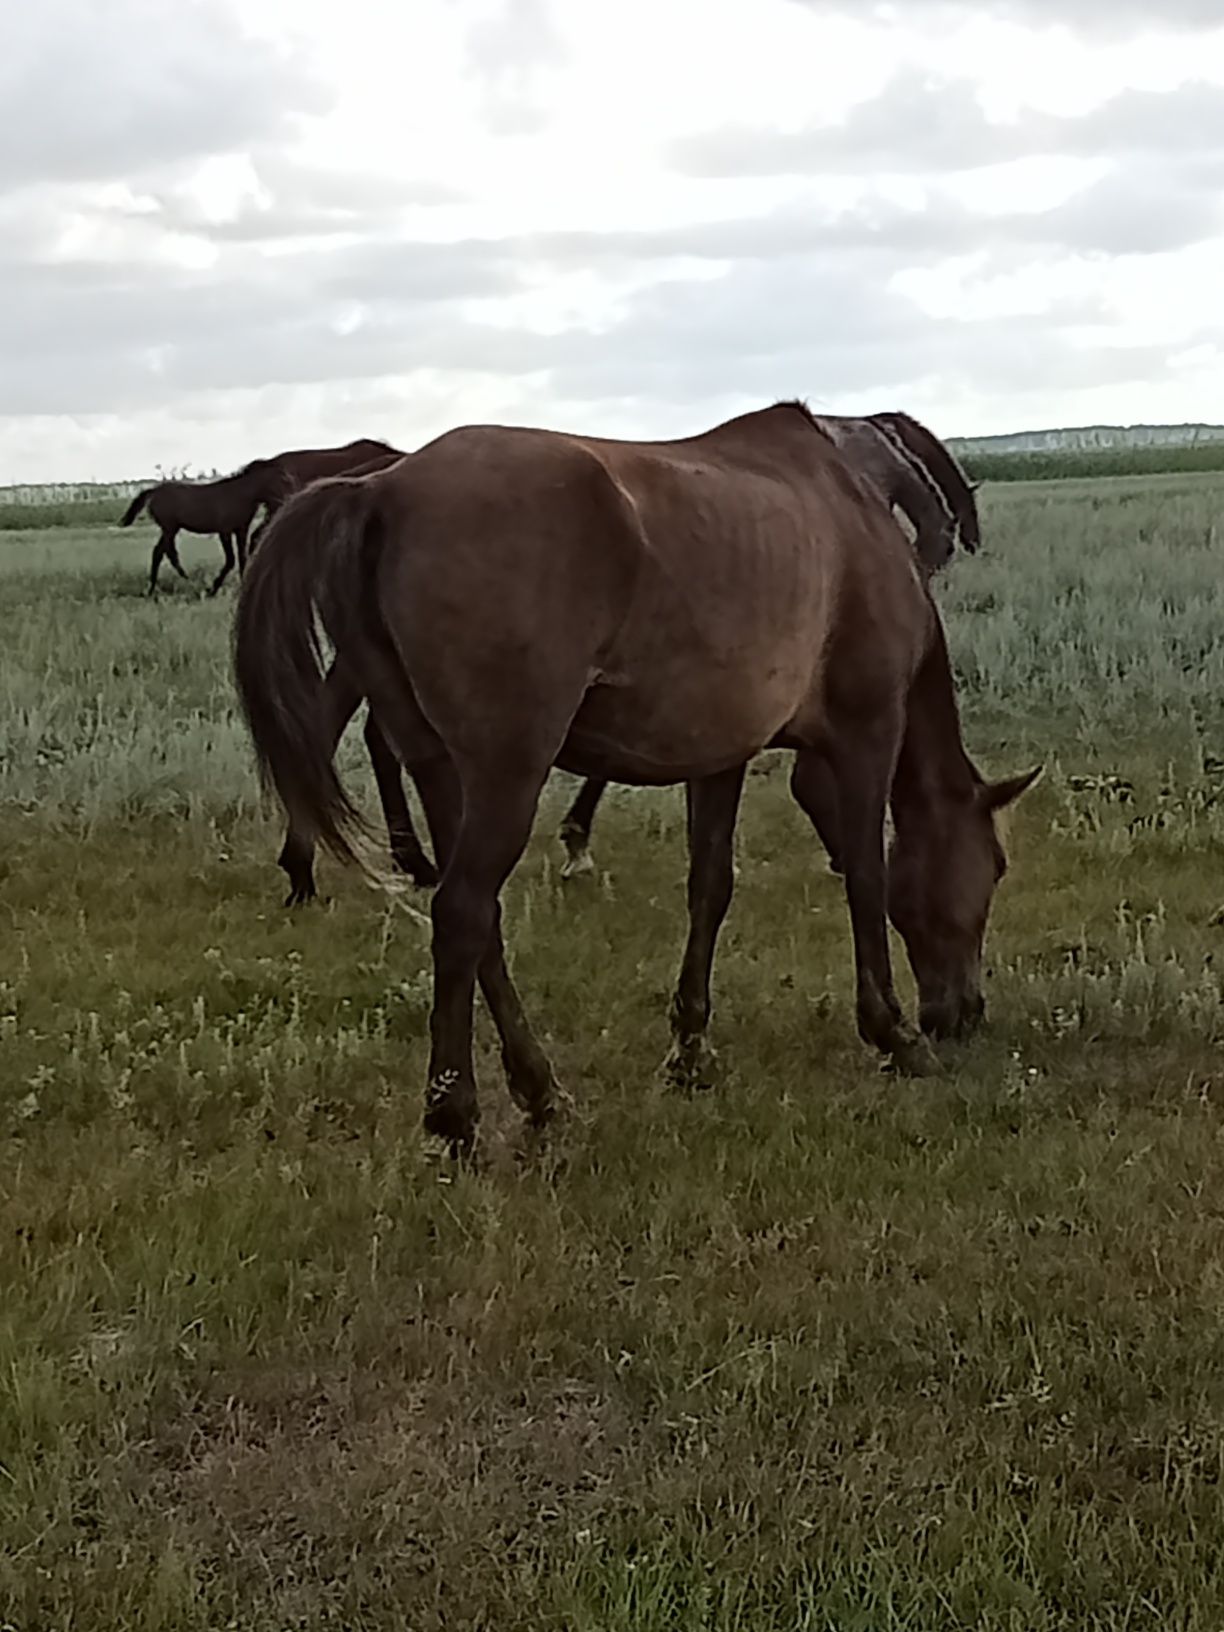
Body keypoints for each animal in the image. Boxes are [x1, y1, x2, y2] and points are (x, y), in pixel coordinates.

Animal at [119, 463, 282, 597]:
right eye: (281, 480)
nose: (282, 502)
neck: (240, 494)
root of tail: (153, 491)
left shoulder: (241, 529)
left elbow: (243, 558)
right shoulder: (225, 531)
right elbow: (230, 560)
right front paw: (212, 589)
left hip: (170, 528)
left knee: (163, 552)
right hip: (170, 528)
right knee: (162, 552)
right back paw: (177, 584)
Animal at [230, 401, 1037, 1155]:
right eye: (995, 867)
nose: (963, 1013)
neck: (854, 512)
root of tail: (382, 493)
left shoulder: (721, 756)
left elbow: (710, 888)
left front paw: (690, 1050)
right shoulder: (866, 732)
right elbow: (867, 876)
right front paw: (892, 1033)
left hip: (441, 769)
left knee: (480, 923)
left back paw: (540, 1092)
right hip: (507, 773)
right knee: (461, 913)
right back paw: (454, 1114)